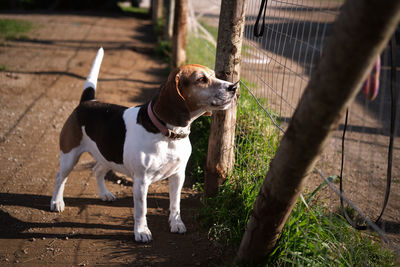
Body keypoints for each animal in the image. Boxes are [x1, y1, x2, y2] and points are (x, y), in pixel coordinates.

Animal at [50, 48, 238, 243]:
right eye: (201, 79)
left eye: (214, 75)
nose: (234, 87)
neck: (168, 134)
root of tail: (87, 102)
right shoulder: (141, 181)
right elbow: (141, 210)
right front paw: (141, 231)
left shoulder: (178, 175)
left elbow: (175, 204)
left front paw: (176, 223)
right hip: (69, 156)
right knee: (60, 177)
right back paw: (56, 202)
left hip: (109, 156)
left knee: (97, 170)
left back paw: (104, 194)